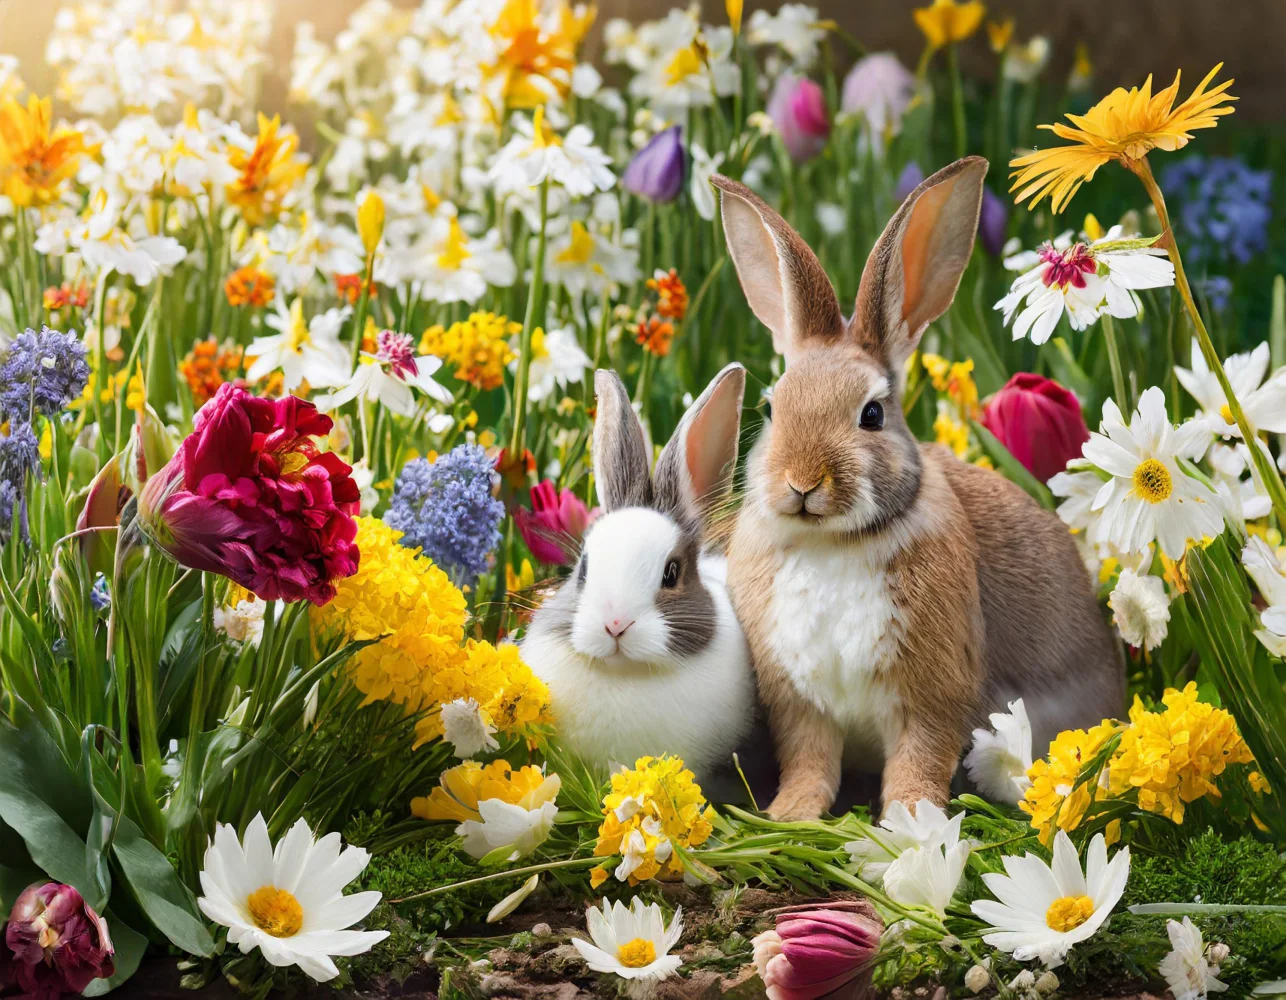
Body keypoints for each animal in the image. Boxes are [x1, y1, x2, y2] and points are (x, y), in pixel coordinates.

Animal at [709, 157, 1123, 821]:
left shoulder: (930, 695)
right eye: (772, 408)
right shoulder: (800, 701)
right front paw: (790, 814)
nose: (802, 482)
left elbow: (918, 760)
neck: (834, 542)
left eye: (872, 414)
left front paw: (910, 823)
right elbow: (809, 761)